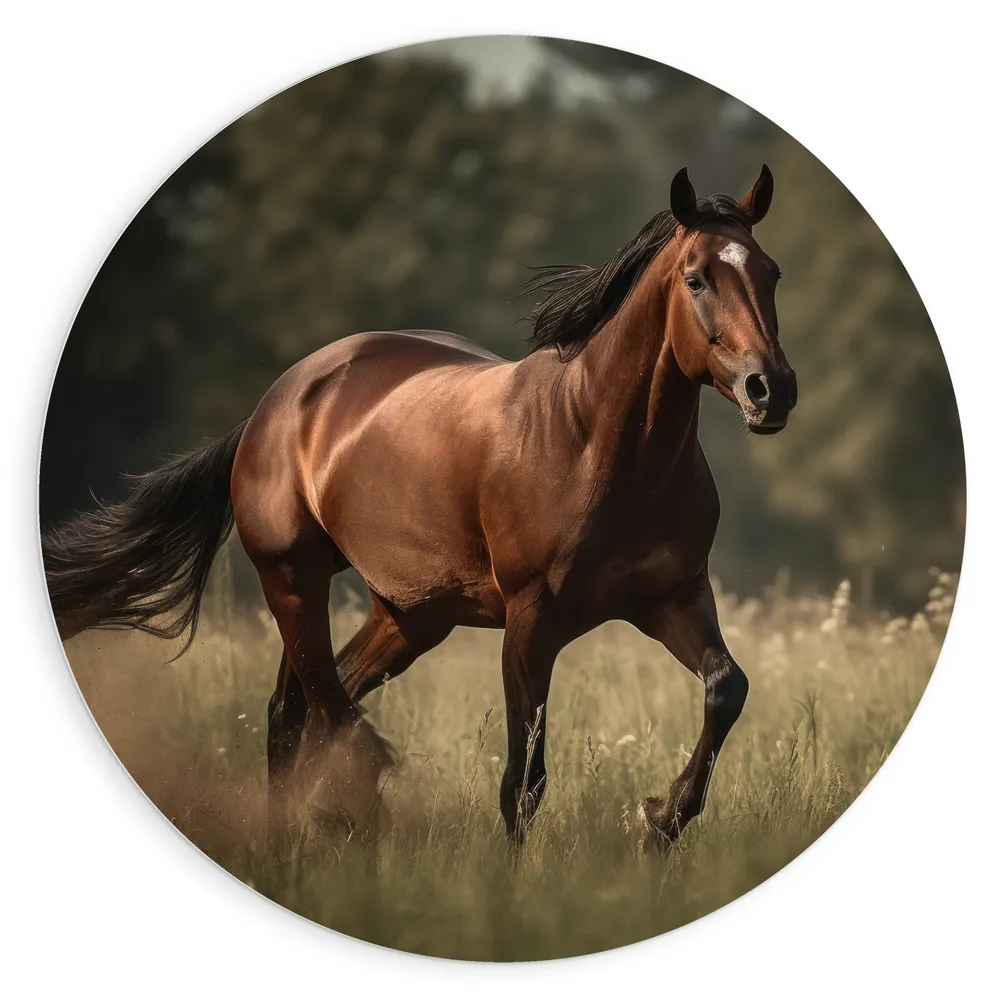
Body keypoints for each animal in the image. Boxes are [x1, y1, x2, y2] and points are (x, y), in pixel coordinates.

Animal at [43, 165, 796, 848]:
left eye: (772, 272)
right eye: (696, 278)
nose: (771, 389)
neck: (597, 445)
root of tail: (275, 403)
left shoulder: (673, 598)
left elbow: (726, 688)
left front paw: (661, 821)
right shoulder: (532, 621)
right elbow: (523, 781)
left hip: (410, 613)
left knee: (311, 702)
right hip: (293, 577)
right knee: (315, 709)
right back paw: (340, 816)